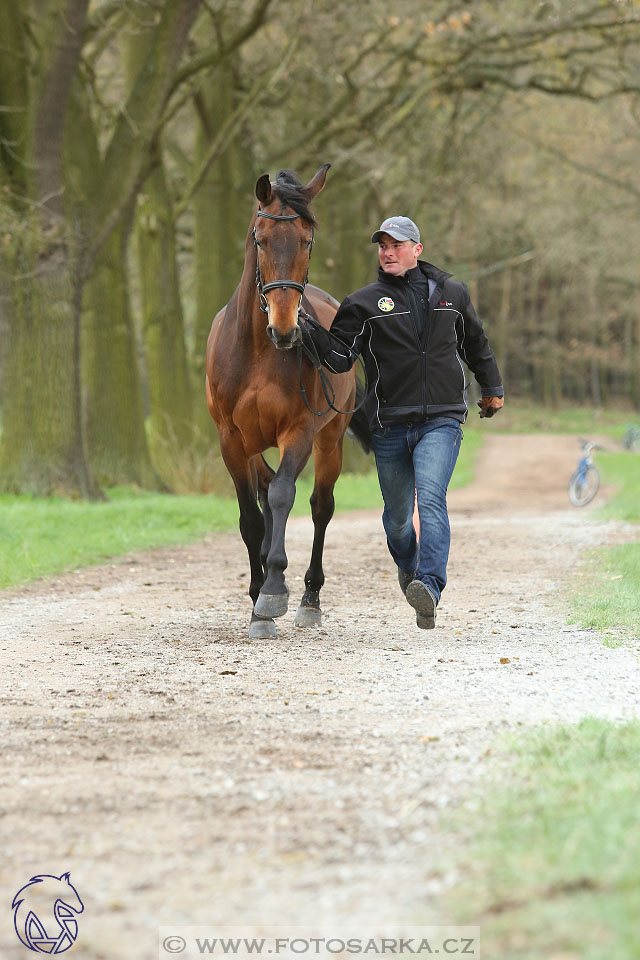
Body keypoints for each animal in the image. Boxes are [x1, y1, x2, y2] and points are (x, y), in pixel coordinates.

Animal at [205, 167, 364, 636]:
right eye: (260, 239)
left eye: (307, 239)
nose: (285, 327)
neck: (259, 350)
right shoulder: (232, 440)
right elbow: (251, 517)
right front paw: (258, 601)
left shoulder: (299, 431)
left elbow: (282, 496)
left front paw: (274, 591)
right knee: (263, 495)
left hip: (329, 441)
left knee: (319, 507)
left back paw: (309, 598)